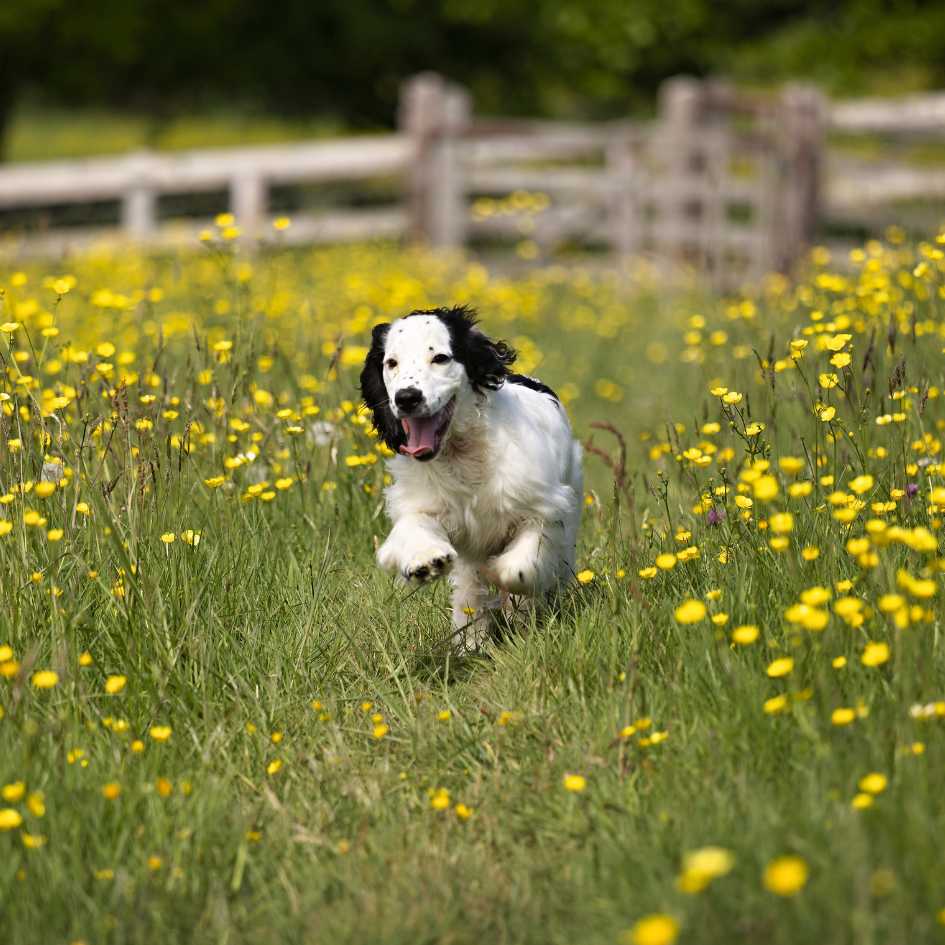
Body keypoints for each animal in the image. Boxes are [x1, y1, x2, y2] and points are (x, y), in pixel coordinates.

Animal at [362, 302, 584, 648]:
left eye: (440, 358)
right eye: (391, 363)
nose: (407, 397)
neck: (463, 453)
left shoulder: (544, 507)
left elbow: (523, 562)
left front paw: (507, 578)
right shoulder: (428, 505)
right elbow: (415, 527)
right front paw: (425, 560)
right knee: (469, 587)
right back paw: (471, 641)